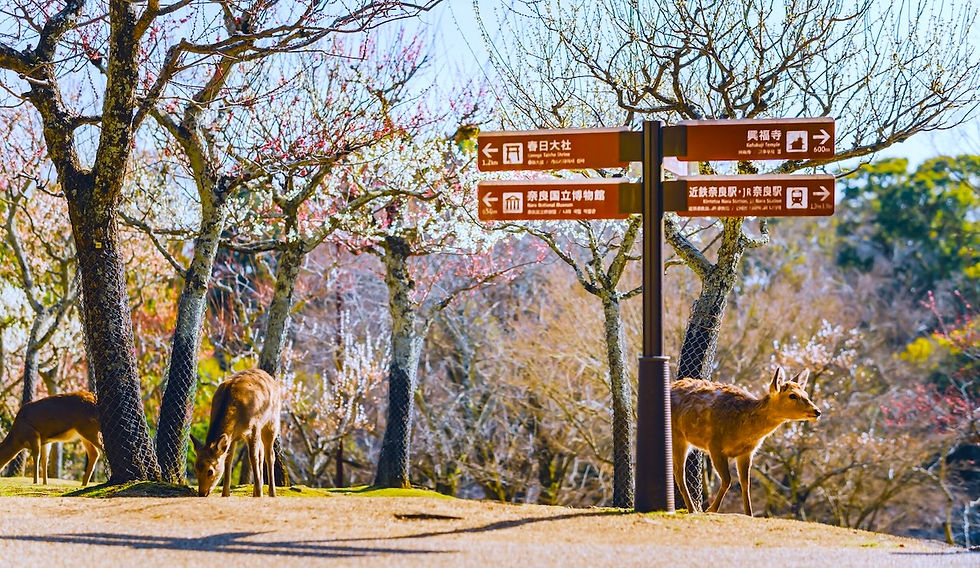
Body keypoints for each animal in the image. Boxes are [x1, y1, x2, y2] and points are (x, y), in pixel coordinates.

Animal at [192, 368, 281, 497]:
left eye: (210, 471)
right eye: (195, 468)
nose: (202, 493)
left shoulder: (254, 426)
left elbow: (253, 458)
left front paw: (260, 494)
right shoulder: (232, 437)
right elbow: (228, 460)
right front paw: (225, 494)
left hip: (272, 422)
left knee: (270, 455)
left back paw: (271, 493)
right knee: (261, 454)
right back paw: (256, 492)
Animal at [671, 367, 821, 516]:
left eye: (805, 393)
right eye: (792, 395)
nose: (817, 411)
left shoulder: (747, 452)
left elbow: (745, 483)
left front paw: (749, 513)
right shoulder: (715, 445)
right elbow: (727, 480)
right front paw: (711, 509)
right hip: (677, 437)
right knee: (679, 474)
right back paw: (692, 509)